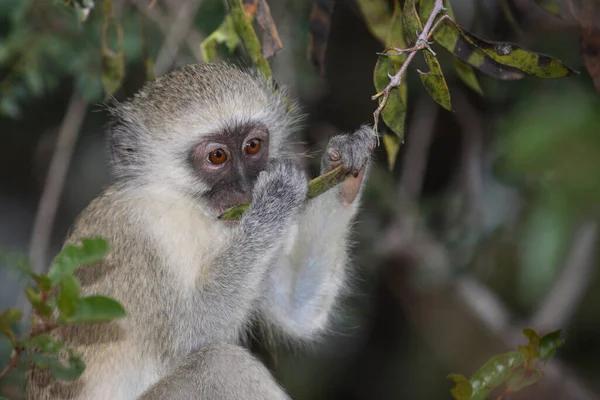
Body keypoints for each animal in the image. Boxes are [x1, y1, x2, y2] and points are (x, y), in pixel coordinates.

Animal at [27, 62, 376, 400]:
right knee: (220, 363)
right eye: (217, 156)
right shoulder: (133, 235)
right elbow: (190, 336)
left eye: (253, 146)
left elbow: (296, 308)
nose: (247, 188)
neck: (189, 207)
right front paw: (276, 199)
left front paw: (344, 163)